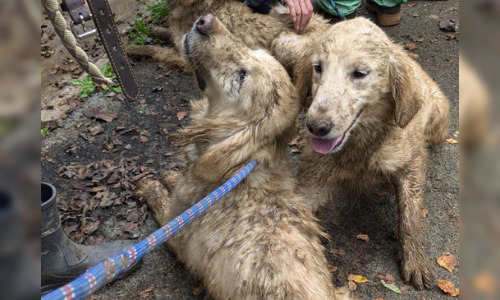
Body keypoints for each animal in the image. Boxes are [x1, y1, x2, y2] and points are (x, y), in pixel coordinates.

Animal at [135, 15, 350, 300]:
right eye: (252, 50)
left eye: (241, 75)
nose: (205, 21)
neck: (240, 166)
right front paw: (171, 175)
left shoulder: (174, 228)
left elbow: (161, 200)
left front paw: (151, 185)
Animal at [292, 17, 450, 290]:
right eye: (318, 67)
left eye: (359, 73)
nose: (316, 127)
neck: (361, 144)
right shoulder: (312, 178)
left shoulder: (412, 163)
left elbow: (410, 216)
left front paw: (416, 260)